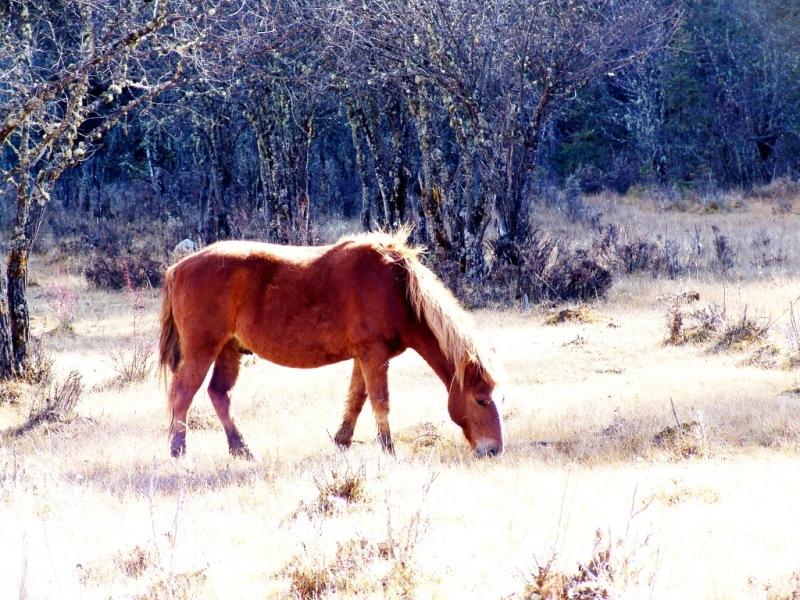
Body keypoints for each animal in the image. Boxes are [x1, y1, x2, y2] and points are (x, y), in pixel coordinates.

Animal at [159, 231, 504, 460]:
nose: (494, 450)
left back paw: (241, 449)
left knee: (219, 395)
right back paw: (178, 451)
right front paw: (388, 451)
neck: (397, 287)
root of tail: (176, 269)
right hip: (202, 350)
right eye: (480, 400)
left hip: (228, 350)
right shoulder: (373, 354)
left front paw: (342, 442)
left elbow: (356, 400)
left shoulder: (363, 358)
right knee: (182, 393)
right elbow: (380, 401)